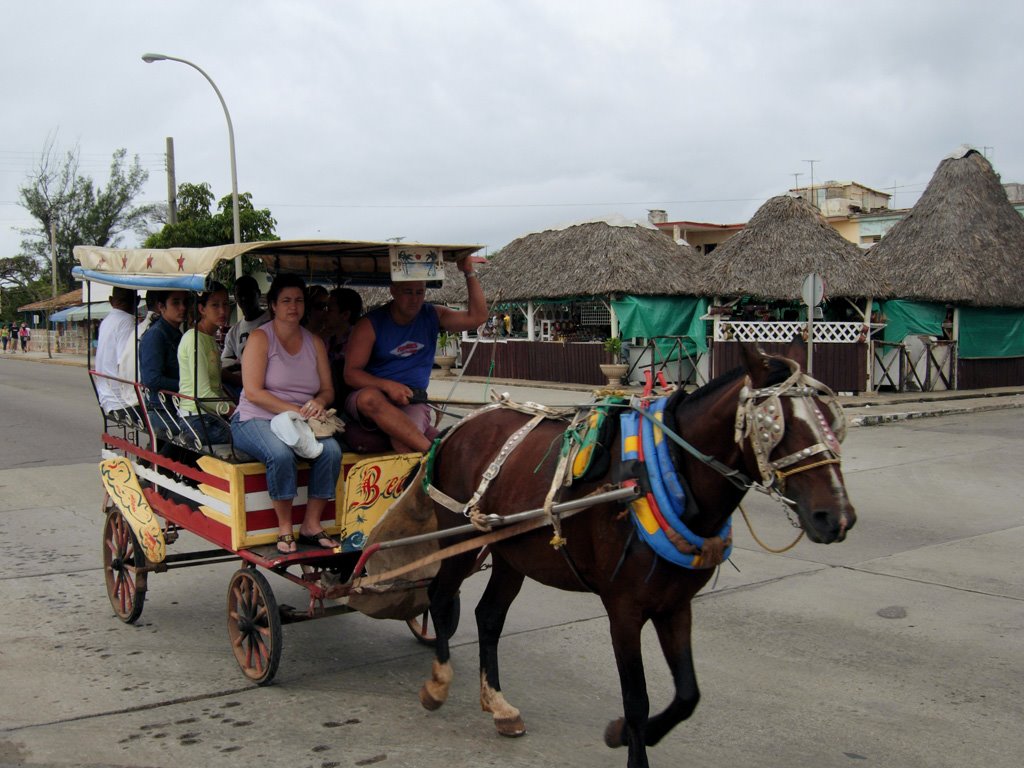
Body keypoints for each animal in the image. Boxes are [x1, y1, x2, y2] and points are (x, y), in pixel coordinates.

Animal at [415, 342, 856, 768]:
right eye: (775, 425)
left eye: (830, 420)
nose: (836, 517)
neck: (664, 474)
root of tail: (459, 427)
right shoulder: (624, 609)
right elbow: (637, 698)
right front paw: (632, 741)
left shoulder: (676, 604)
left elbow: (687, 694)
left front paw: (621, 734)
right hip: (457, 538)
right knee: (439, 597)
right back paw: (437, 683)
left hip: (513, 554)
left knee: (489, 617)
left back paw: (498, 705)